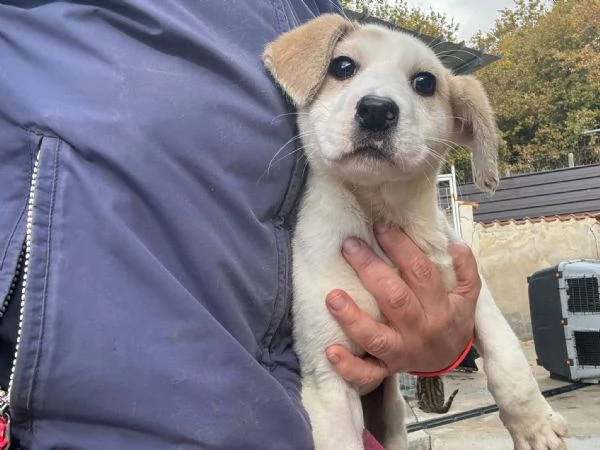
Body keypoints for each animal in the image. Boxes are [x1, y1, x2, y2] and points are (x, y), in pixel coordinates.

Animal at [262, 14, 568, 450]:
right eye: (342, 66)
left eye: (425, 82)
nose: (376, 110)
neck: (381, 212)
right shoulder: (327, 375)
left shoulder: (471, 294)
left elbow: (508, 358)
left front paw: (534, 425)